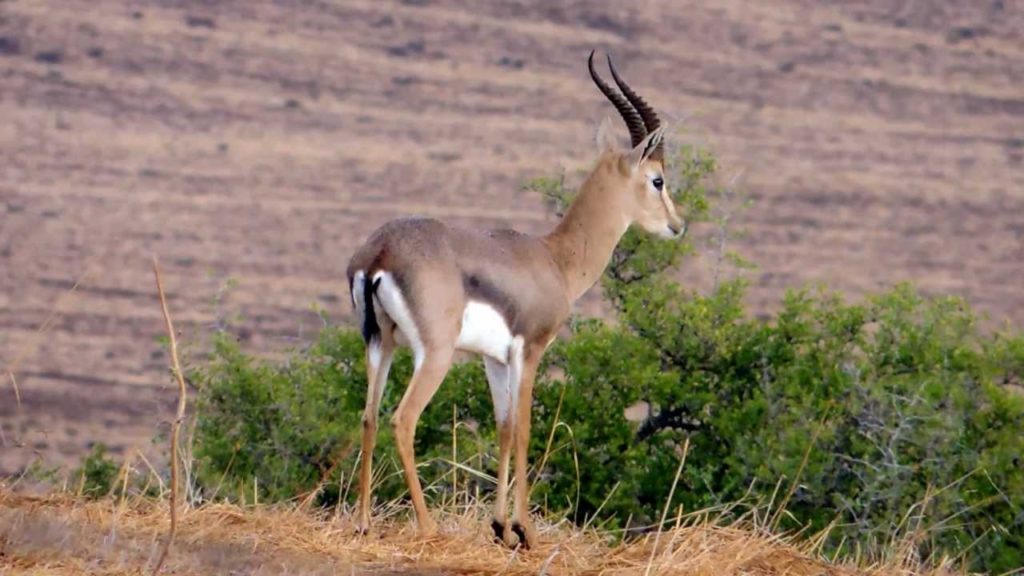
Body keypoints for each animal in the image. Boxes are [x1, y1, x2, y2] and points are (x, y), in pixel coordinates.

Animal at [346, 51, 684, 549]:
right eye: (657, 180)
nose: (677, 226)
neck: (554, 259)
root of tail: (379, 253)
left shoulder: (495, 358)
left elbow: (503, 428)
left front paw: (500, 526)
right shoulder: (531, 350)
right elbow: (524, 429)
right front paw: (525, 529)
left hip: (379, 343)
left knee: (369, 416)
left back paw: (363, 522)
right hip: (434, 354)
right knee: (401, 420)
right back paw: (427, 527)